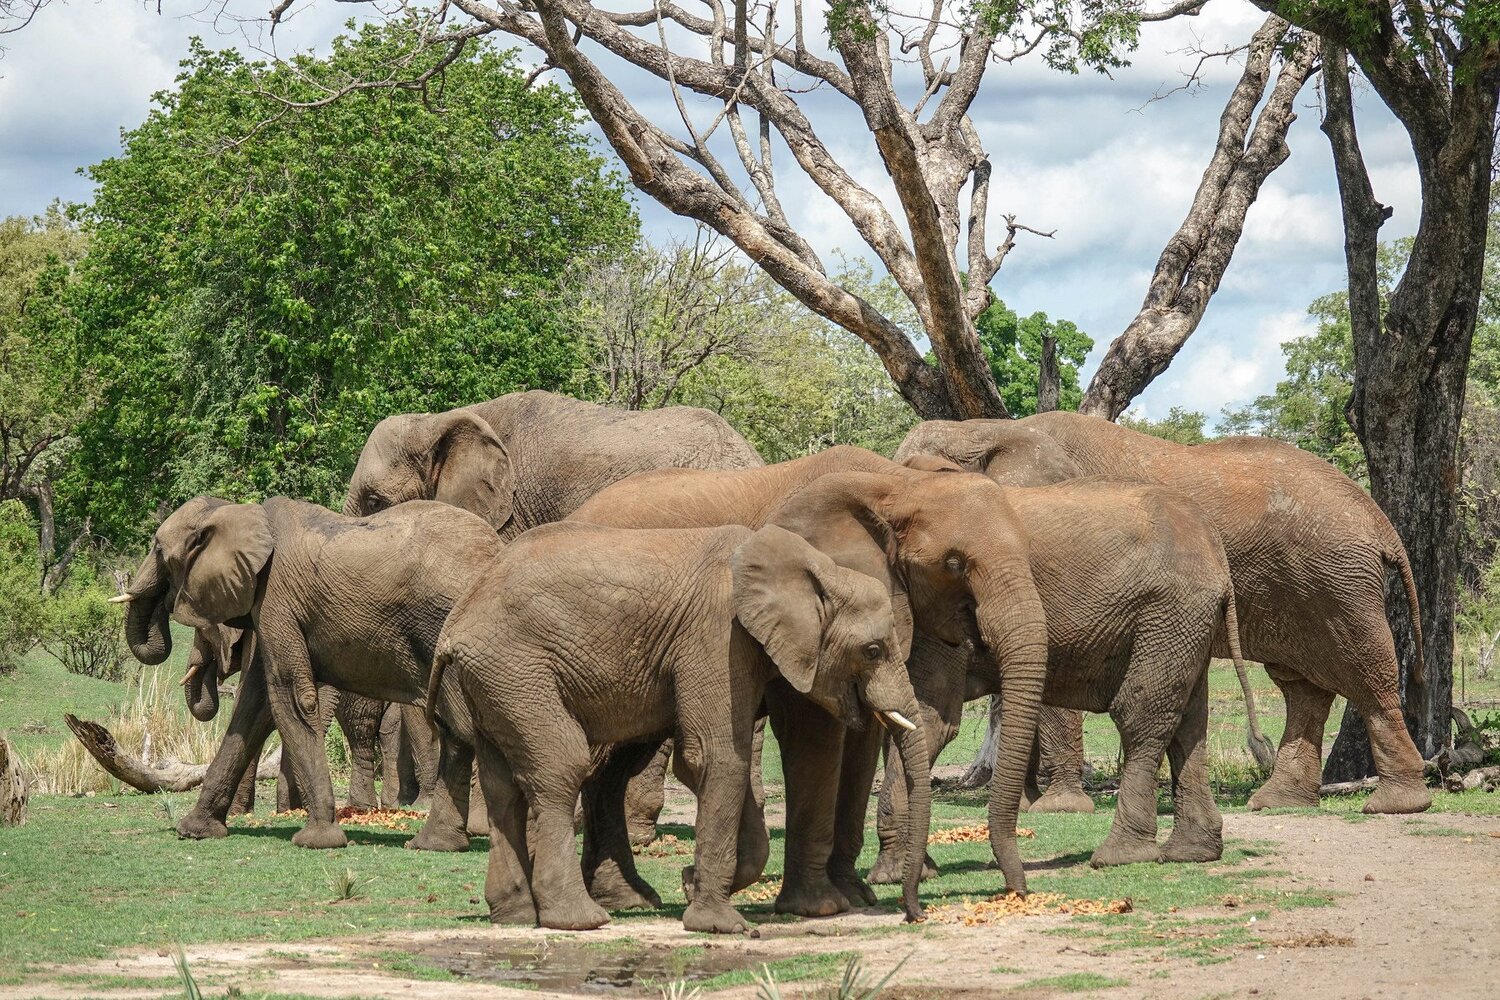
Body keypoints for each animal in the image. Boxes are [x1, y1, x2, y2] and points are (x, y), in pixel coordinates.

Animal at [118, 495, 503, 849]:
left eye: (159, 550)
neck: (239, 511)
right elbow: (254, 707)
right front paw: (194, 831)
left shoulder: (277, 598)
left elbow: (290, 697)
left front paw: (317, 840)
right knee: (457, 731)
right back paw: (436, 844)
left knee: (461, 726)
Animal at [429, 521, 931, 933]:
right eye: (873, 650)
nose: (913, 915)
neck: (818, 568)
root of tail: (455, 623)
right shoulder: (717, 635)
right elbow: (715, 756)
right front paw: (722, 926)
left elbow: (724, 760)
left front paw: (692, 886)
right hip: (516, 670)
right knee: (560, 765)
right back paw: (580, 920)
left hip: (495, 680)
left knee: (503, 786)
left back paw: (514, 916)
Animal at [570, 446, 1050, 907]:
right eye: (954, 564)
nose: (1018, 892)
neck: (899, 485)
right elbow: (815, 731)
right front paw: (815, 903)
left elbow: (862, 741)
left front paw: (855, 895)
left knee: (616, 764)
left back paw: (627, 896)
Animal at [869, 469, 1251, 880]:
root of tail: (1213, 544)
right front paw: (907, 871)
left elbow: (928, 718)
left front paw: (898, 874)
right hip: (1187, 620)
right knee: (1189, 723)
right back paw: (1191, 853)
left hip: (1169, 612)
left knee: (1142, 715)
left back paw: (1120, 856)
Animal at [896, 411, 1432, 814]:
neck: (985, 430)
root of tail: (1378, 519)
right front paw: (1031, 804)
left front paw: (1056, 808)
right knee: (1302, 686)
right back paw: (1278, 802)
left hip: (1336, 579)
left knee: (1364, 673)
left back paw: (1396, 804)